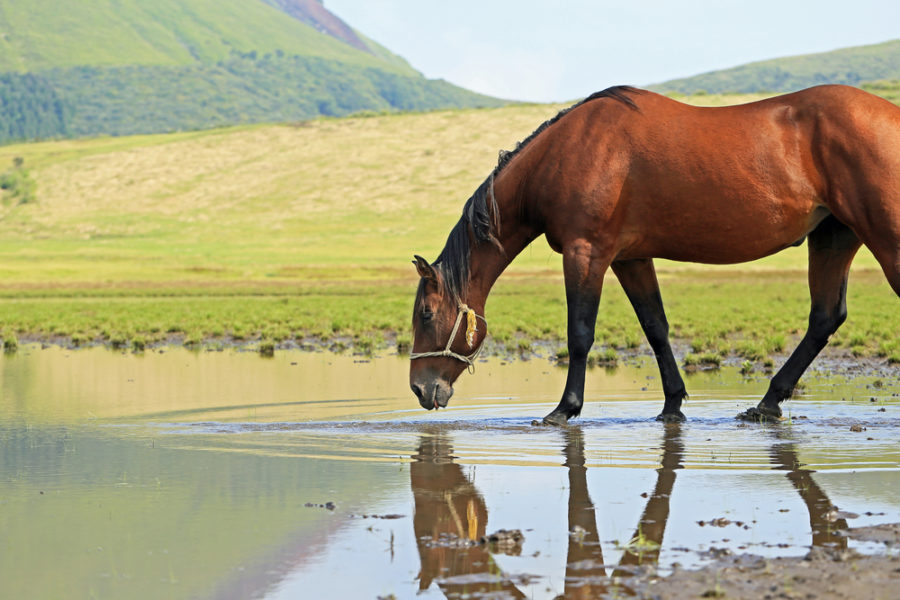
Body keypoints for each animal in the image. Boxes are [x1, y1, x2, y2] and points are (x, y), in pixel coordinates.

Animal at [410, 84, 900, 424]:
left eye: (426, 315)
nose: (419, 388)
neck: (568, 153)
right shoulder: (629, 258)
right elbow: (656, 327)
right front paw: (672, 405)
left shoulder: (586, 253)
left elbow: (580, 334)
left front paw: (565, 408)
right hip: (834, 236)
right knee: (824, 317)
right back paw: (766, 404)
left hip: (884, 238)